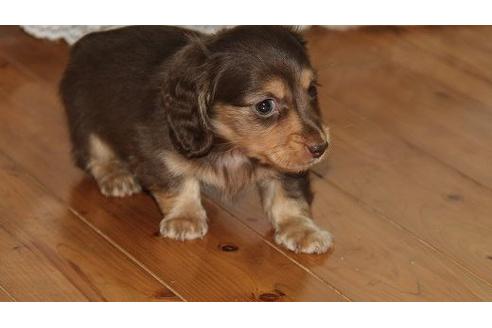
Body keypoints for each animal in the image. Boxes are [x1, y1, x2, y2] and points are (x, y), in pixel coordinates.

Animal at [59, 26, 332, 256]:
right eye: (265, 106)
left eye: (312, 91)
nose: (320, 148)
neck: (230, 145)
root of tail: (87, 42)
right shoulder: (156, 150)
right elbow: (179, 182)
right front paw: (185, 218)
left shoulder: (286, 161)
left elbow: (289, 195)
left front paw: (302, 229)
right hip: (86, 119)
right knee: (92, 155)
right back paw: (115, 175)